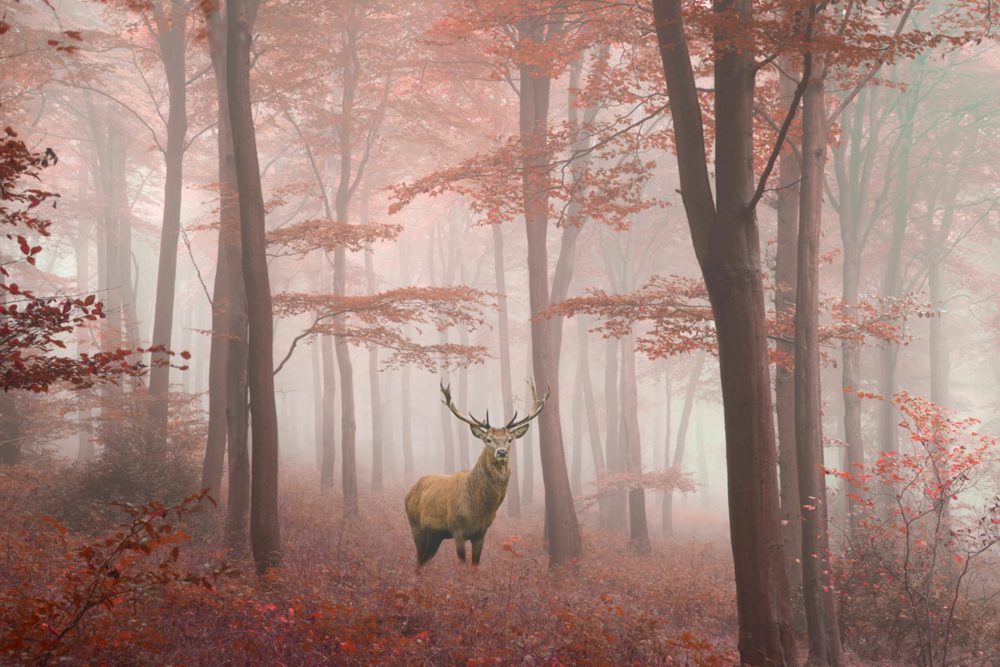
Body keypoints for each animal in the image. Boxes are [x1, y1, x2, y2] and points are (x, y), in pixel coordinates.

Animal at [404, 381, 547, 567]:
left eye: (509, 439)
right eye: (488, 439)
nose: (502, 452)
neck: (478, 509)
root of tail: (408, 492)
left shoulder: (481, 533)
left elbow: (475, 565)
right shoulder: (457, 529)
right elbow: (462, 563)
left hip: (436, 535)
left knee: (423, 560)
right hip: (416, 525)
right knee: (419, 559)